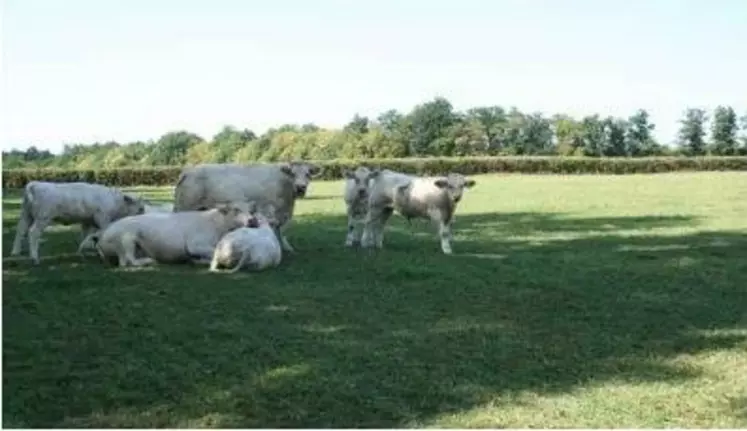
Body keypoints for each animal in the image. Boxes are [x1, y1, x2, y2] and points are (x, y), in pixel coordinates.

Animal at [9, 181, 145, 264]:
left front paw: (87, 249)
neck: (115, 201)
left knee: (20, 230)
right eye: (140, 208)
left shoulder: (87, 221)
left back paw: (15, 252)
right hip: (42, 217)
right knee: (33, 232)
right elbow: (102, 233)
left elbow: (86, 234)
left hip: (26, 215)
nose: (144, 215)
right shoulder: (103, 218)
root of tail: (36, 184)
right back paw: (34, 258)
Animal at [87, 202, 256, 266]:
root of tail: (101, 236)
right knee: (129, 261)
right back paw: (149, 261)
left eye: (250, 209)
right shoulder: (195, 244)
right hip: (127, 238)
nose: (252, 220)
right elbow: (212, 252)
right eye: (236, 210)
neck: (216, 223)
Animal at [173, 161, 322, 253]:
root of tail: (188, 171)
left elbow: (281, 231)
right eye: (293, 174)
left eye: (308, 174)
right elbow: (275, 229)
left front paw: (287, 248)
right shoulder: (269, 209)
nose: (301, 187)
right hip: (185, 205)